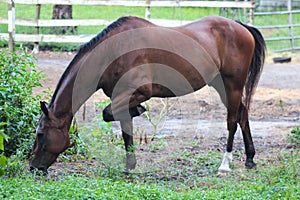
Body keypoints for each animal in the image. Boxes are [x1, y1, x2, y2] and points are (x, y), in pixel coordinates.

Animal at [29, 16, 264, 173]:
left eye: (40, 134)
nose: (33, 167)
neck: (113, 51)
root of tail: (240, 26)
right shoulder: (120, 95)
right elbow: (124, 128)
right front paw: (129, 165)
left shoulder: (139, 92)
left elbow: (109, 114)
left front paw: (138, 110)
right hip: (222, 86)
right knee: (242, 115)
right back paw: (250, 159)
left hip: (232, 85)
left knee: (232, 121)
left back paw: (225, 164)